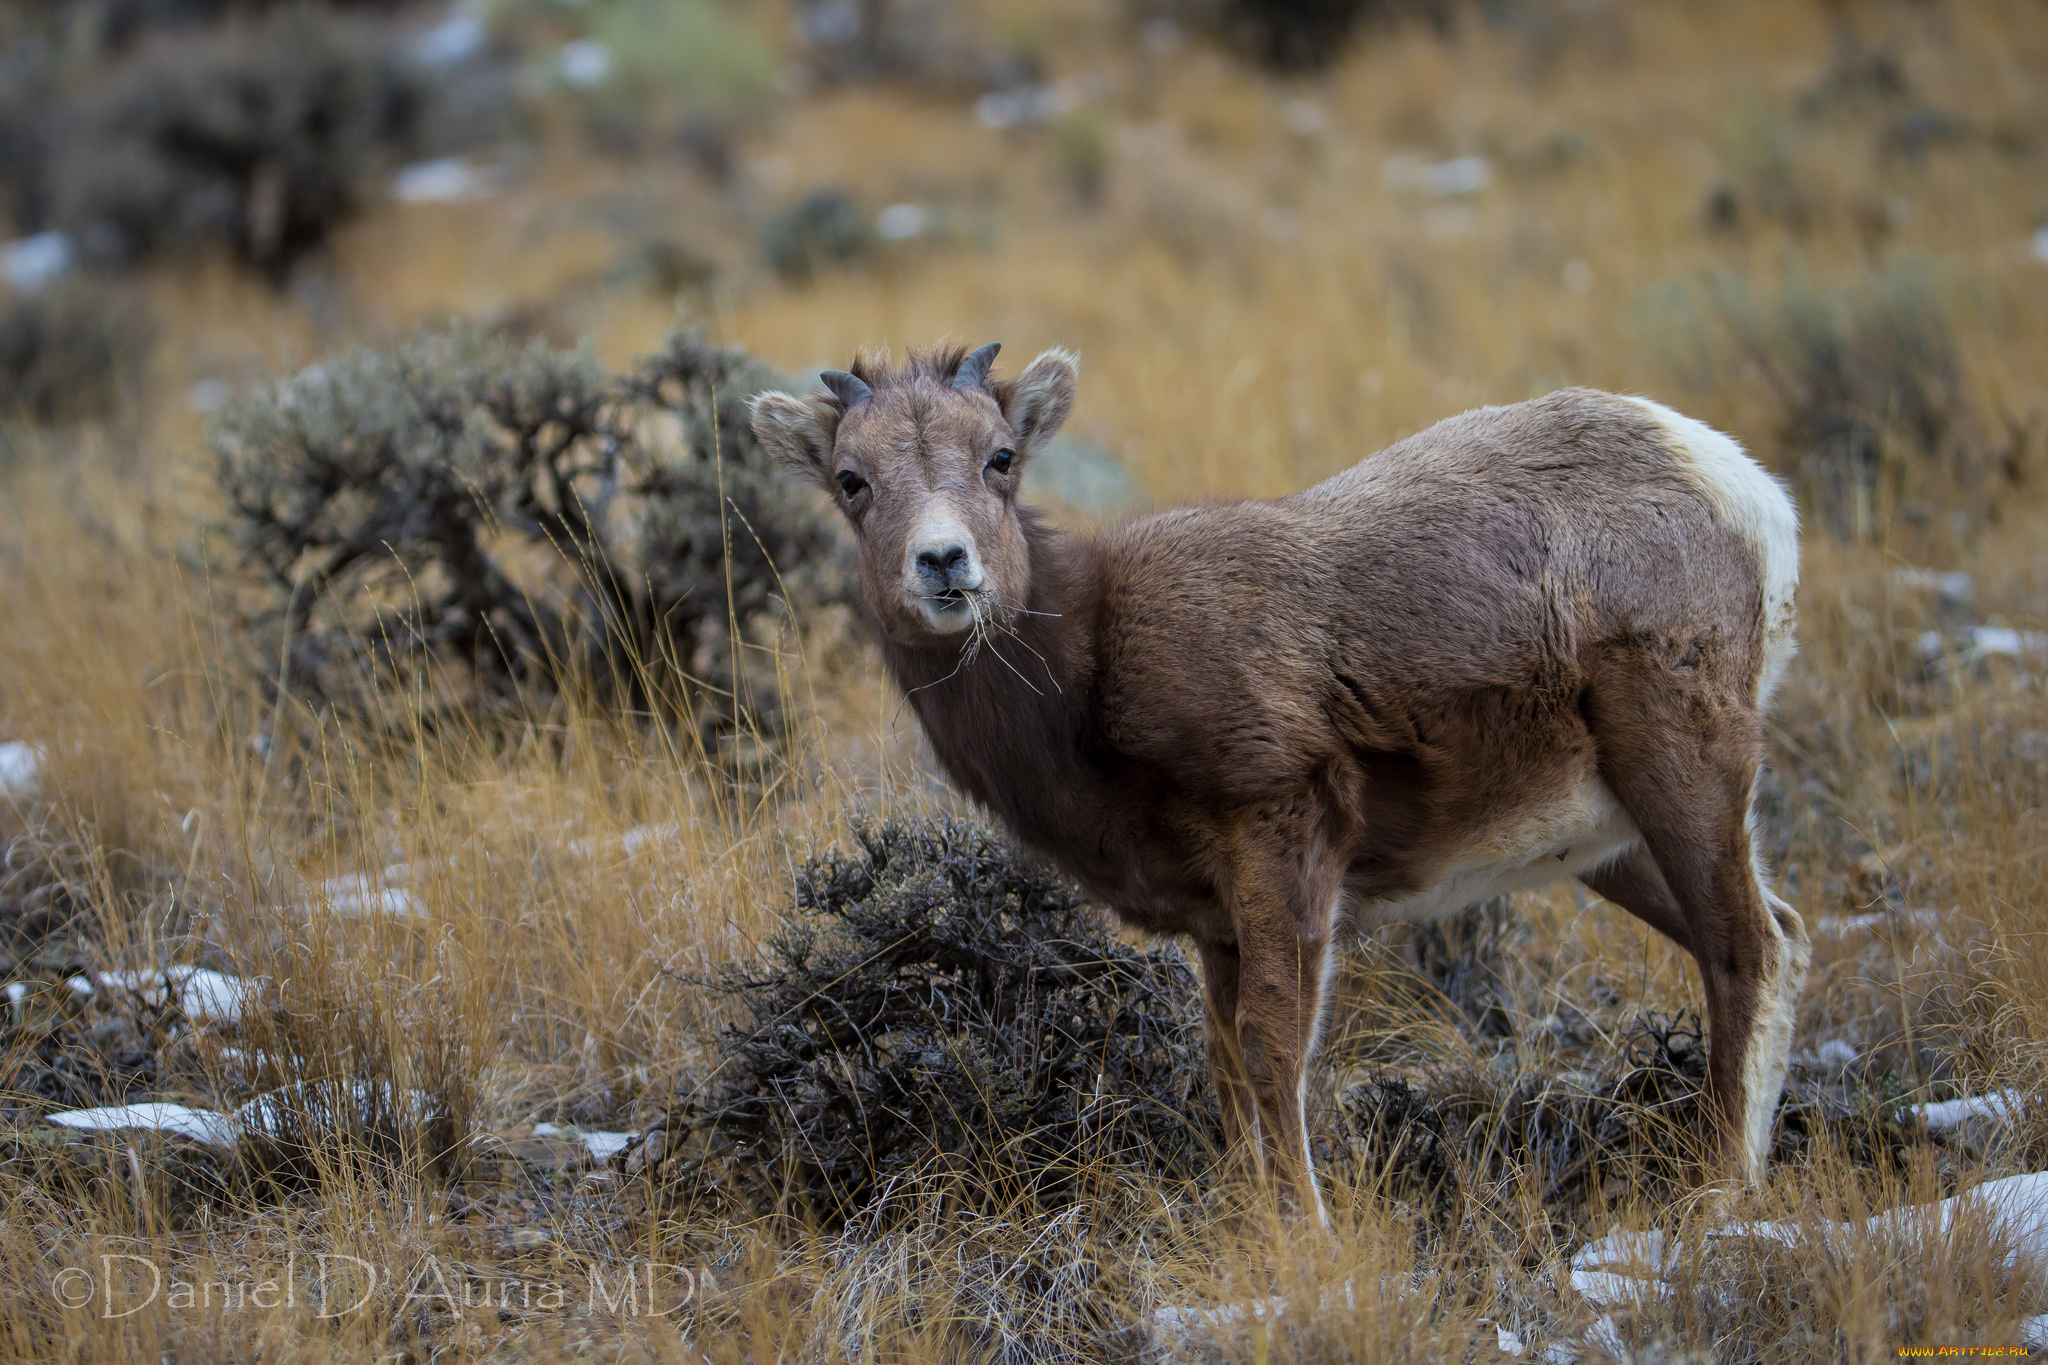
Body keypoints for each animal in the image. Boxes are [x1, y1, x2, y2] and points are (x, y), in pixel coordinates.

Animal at [753, 343, 1810, 1219]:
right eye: (852, 479)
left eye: (1000, 456)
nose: (944, 563)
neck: (1087, 682)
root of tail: (1742, 489)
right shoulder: (1214, 924)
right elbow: (1225, 1066)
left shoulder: (1283, 838)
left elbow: (1272, 1050)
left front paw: (1310, 1236)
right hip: (1612, 840)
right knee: (1784, 934)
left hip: (1684, 768)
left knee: (1745, 947)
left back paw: (1723, 1190)